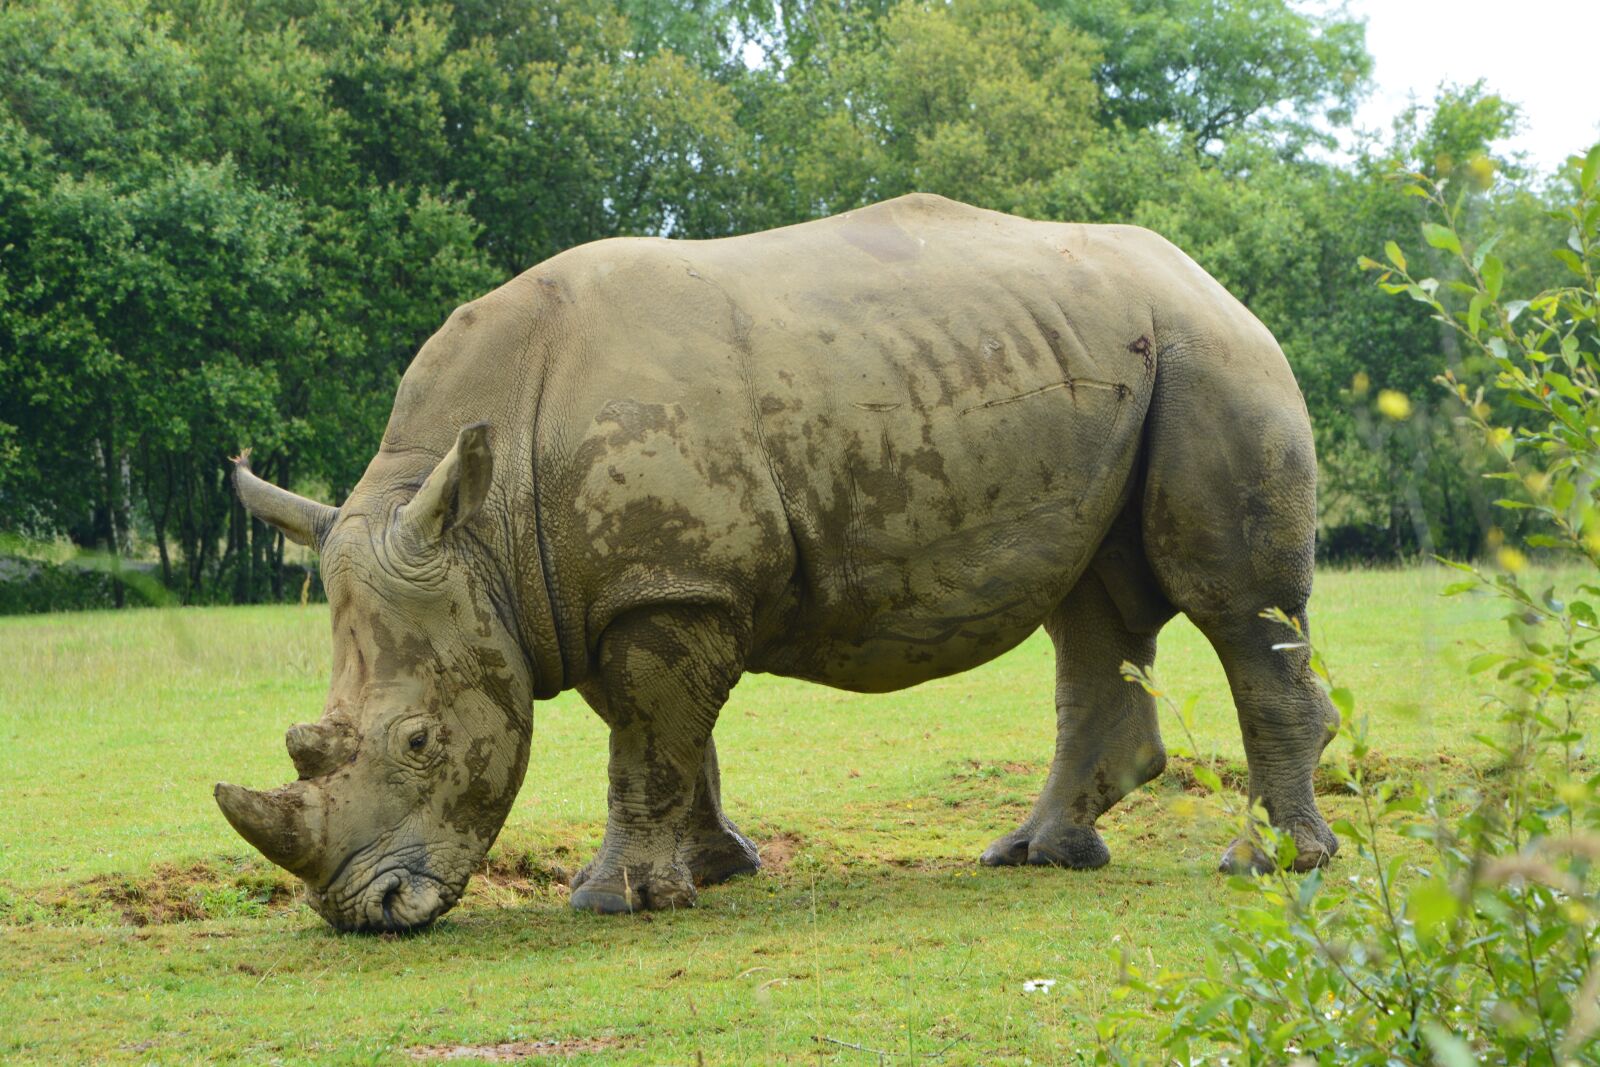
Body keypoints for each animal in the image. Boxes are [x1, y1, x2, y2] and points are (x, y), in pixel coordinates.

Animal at [217, 193, 1339, 932]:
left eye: (417, 741)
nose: (360, 910)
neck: (478, 527)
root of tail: (1214, 279)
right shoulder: (620, 588)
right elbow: (667, 737)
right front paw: (713, 871)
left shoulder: (669, 588)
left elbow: (645, 740)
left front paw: (610, 899)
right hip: (1114, 368)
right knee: (1093, 603)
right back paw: (1038, 855)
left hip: (1212, 360)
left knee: (1234, 606)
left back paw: (1267, 864)